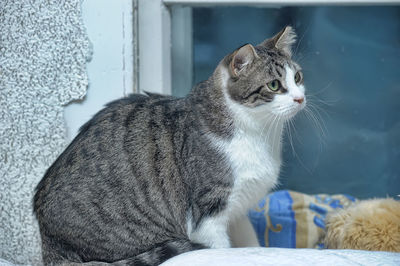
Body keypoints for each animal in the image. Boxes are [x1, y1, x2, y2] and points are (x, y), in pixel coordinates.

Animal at [33, 26, 306, 264]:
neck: (261, 134)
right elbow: (220, 249)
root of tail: (47, 241)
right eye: (274, 85)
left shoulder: (238, 209)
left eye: (297, 77)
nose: (300, 98)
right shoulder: (208, 214)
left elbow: (250, 240)